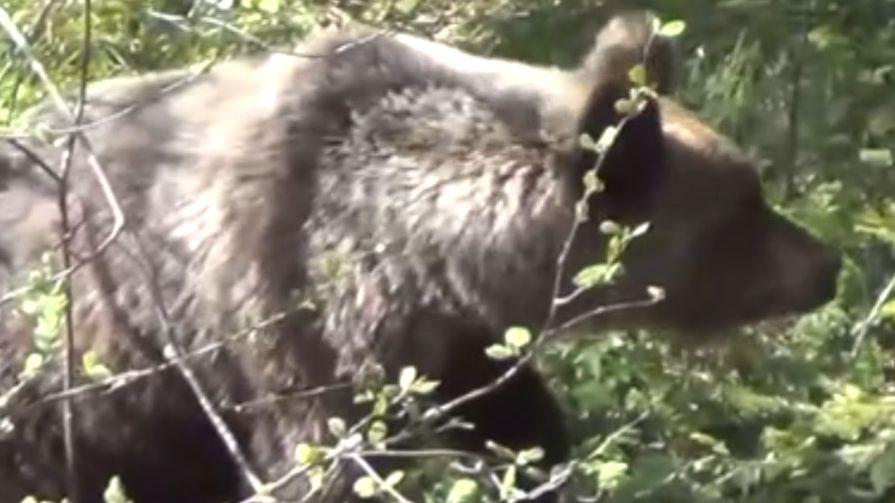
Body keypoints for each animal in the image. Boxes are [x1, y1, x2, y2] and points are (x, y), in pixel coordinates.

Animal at [0, 11, 840, 503]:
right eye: (745, 205)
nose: (828, 265)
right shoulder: (288, 321)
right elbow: (325, 461)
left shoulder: (459, 345)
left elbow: (517, 420)